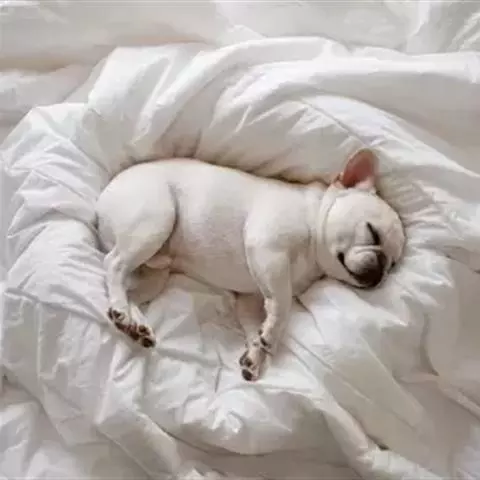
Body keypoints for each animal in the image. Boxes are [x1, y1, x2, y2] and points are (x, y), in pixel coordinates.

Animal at [96, 149, 405, 381]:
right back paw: (122, 311)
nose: (381, 270)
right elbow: (282, 305)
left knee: (130, 289)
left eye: (393, 264)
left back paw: (133, 323)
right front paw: (271, 339)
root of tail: (102, 201)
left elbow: (255, 323)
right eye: (372, 233)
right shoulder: (268, 251)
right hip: (154, 221)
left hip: (155, 274)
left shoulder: (252, 297)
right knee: (114, 264)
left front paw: (255, 356)